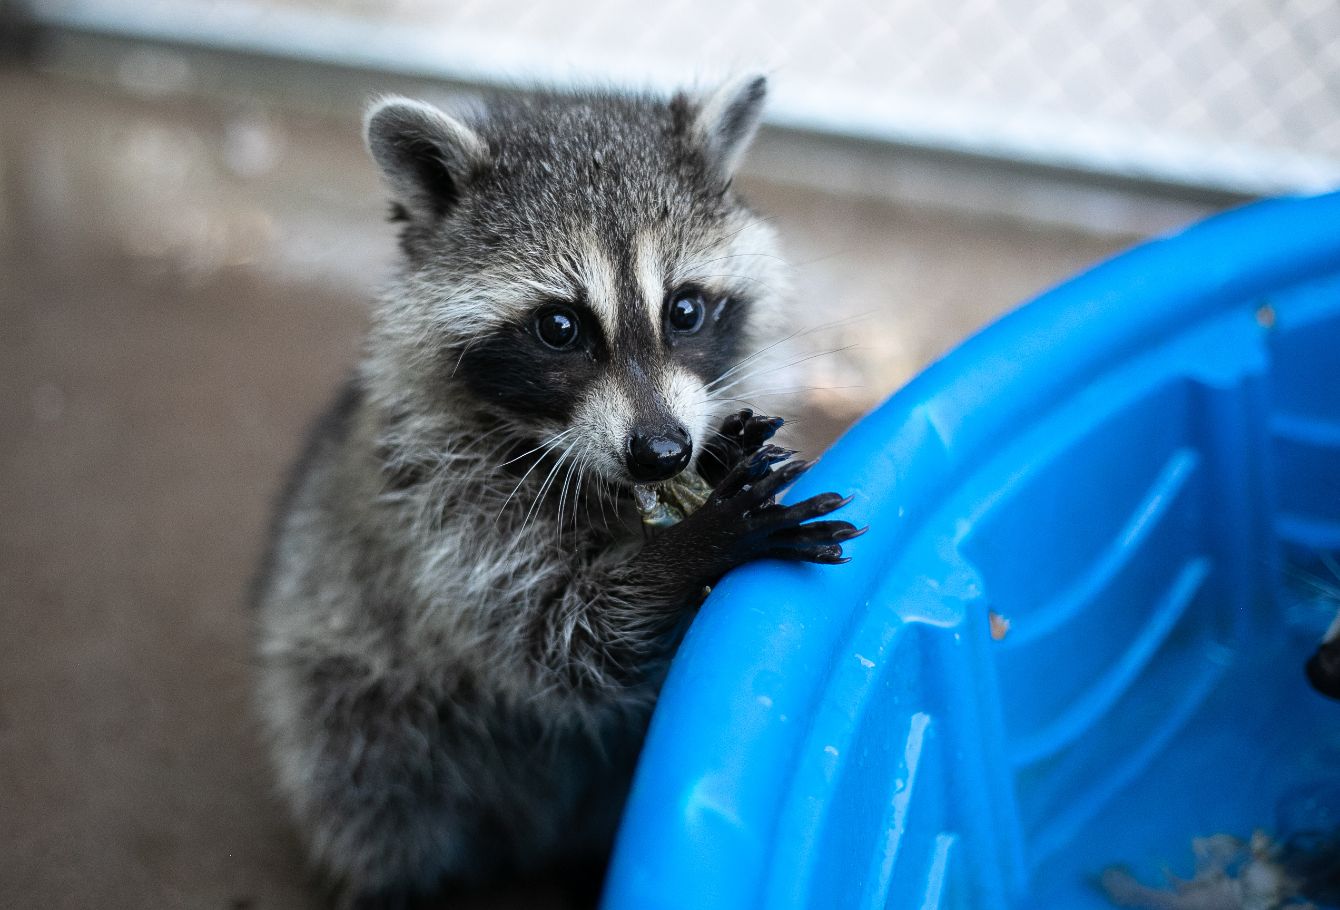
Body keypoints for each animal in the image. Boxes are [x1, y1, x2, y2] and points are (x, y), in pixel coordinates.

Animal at [253, 75, 861, 908]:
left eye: (685, 309)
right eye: (560, 326)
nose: (663, 452)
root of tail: (526, 841)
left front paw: (718, 466)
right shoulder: (436, 501)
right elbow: (555, 638)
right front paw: (692, 551)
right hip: (343, 677)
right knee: (369, 775)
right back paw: (392, 879)